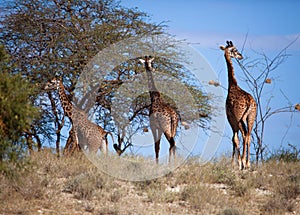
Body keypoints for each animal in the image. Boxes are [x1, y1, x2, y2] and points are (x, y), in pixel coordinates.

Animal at [219, 40, 256, 170]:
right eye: (234, 50)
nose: (241, 56)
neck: (232, 85)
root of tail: (250, 103)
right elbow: (235, 139)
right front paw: (237, 162)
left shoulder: (231, 118)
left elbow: (234, 139)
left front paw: (235, 163)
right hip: (251, 117)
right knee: (249, 135)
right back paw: (248, 163)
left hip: (240, 118)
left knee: (244, 135)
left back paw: (244, 162)